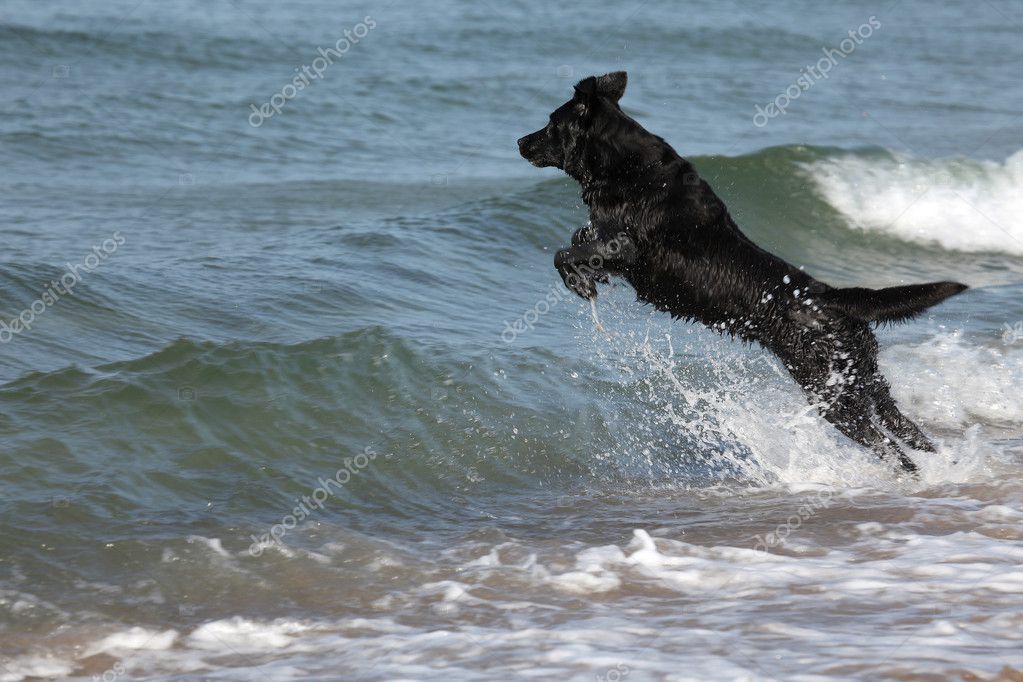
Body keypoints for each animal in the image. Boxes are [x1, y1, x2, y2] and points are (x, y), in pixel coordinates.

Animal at [519, 70, 965, 474]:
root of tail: (833, 296)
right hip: (867, 382)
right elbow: (578, 237)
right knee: (906, 429)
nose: (520, 142)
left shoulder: (625, 245)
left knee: (889, 447)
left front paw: (578, 281)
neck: (624, 165)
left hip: (830, 391)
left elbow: (564, 252)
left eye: (551, 122)